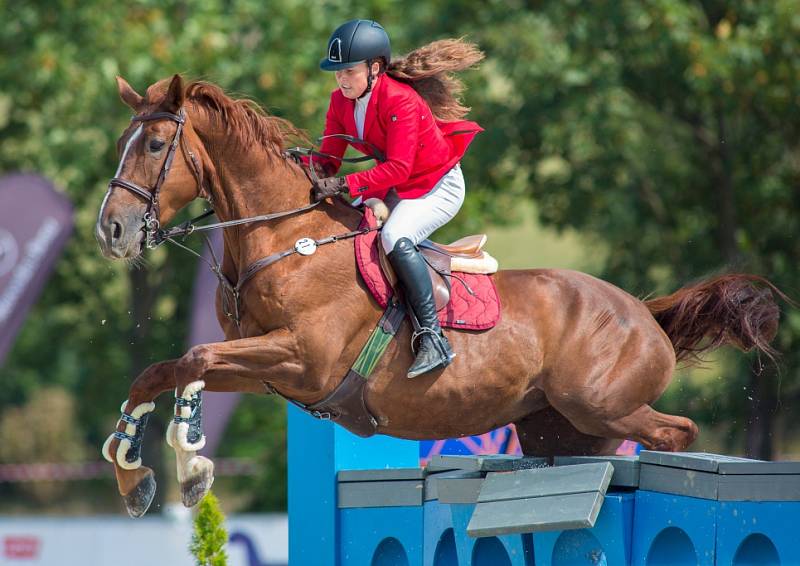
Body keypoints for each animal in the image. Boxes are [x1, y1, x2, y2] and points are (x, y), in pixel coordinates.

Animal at [94, 75, 780, 520]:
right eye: (123, 140)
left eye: (154, 146)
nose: (112, 230)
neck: (282, 238)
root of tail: (644, 312)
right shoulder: (265, 367)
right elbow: (160, 370)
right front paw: (133, 475)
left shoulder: (301, 360)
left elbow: (193, 360)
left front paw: (192, 467)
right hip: (560, 430)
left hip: (603, 406)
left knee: (676, 431)